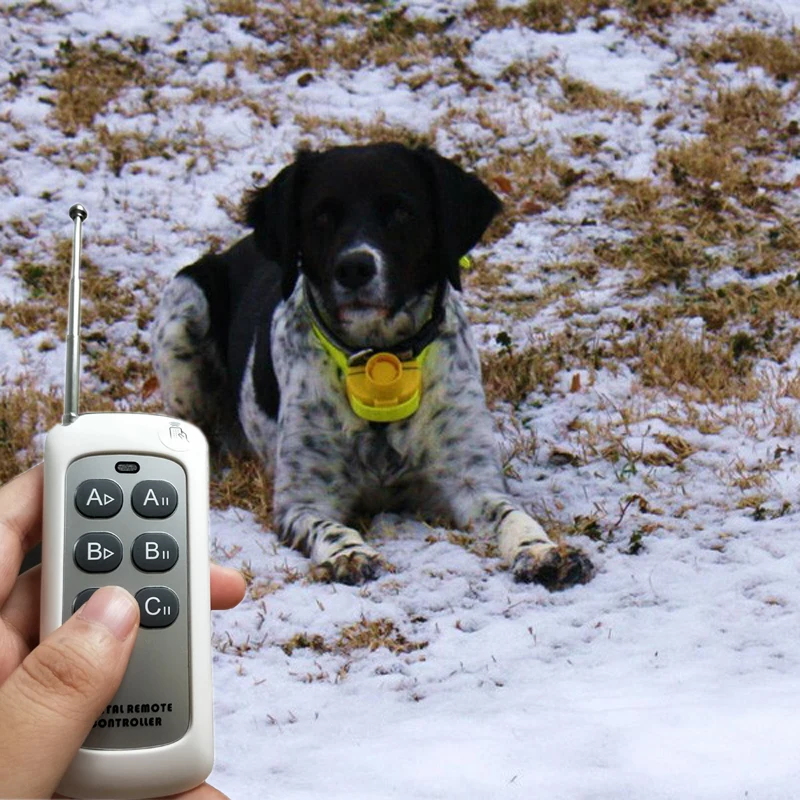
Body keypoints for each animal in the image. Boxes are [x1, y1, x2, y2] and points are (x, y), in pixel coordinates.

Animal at [153, 144, 592, 592]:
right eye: (321, 215)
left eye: (401, 211)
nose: (354, 268)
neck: (381, 362)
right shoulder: (304, 499)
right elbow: (331, 528)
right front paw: (349, 554)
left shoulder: (471, 479)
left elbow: (512, 514)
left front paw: (542, 551)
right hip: (185, 306)